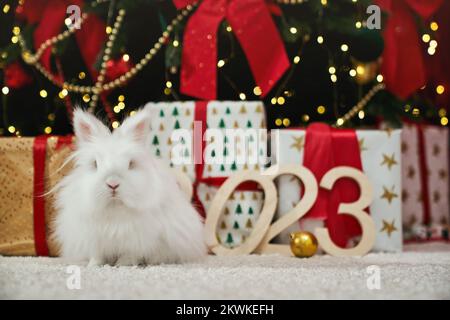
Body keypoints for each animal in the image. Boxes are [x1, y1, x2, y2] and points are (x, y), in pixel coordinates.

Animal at [53, 109, 207, 266]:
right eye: (95, 164)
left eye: (131, 164)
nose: (113, 183)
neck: (115, 209)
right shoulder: (94, 237)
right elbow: (97, 255)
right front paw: (93, 265)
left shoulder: (136, 240)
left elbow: (129, 254)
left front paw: (123, 265)